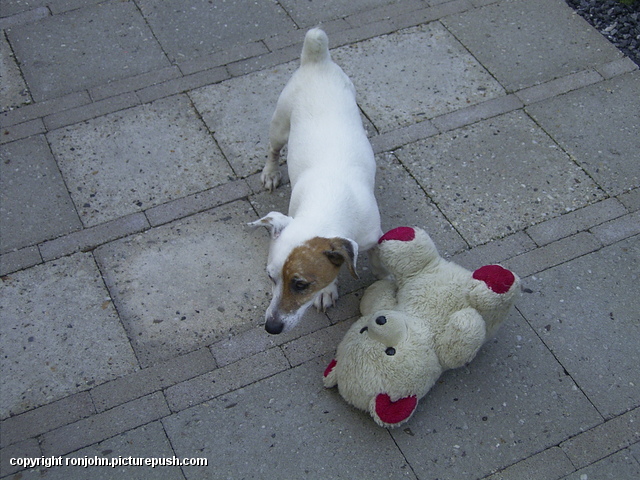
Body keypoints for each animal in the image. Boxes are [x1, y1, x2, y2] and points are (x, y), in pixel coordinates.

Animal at [249, 26, 380, 334]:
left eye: (300, 284)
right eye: (270, 277)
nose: (271, 328)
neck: (328, 199)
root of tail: (316, 60)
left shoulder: (373, 237)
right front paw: (328, 291)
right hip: (280, 124)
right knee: (273, 149)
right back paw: (270, 173)